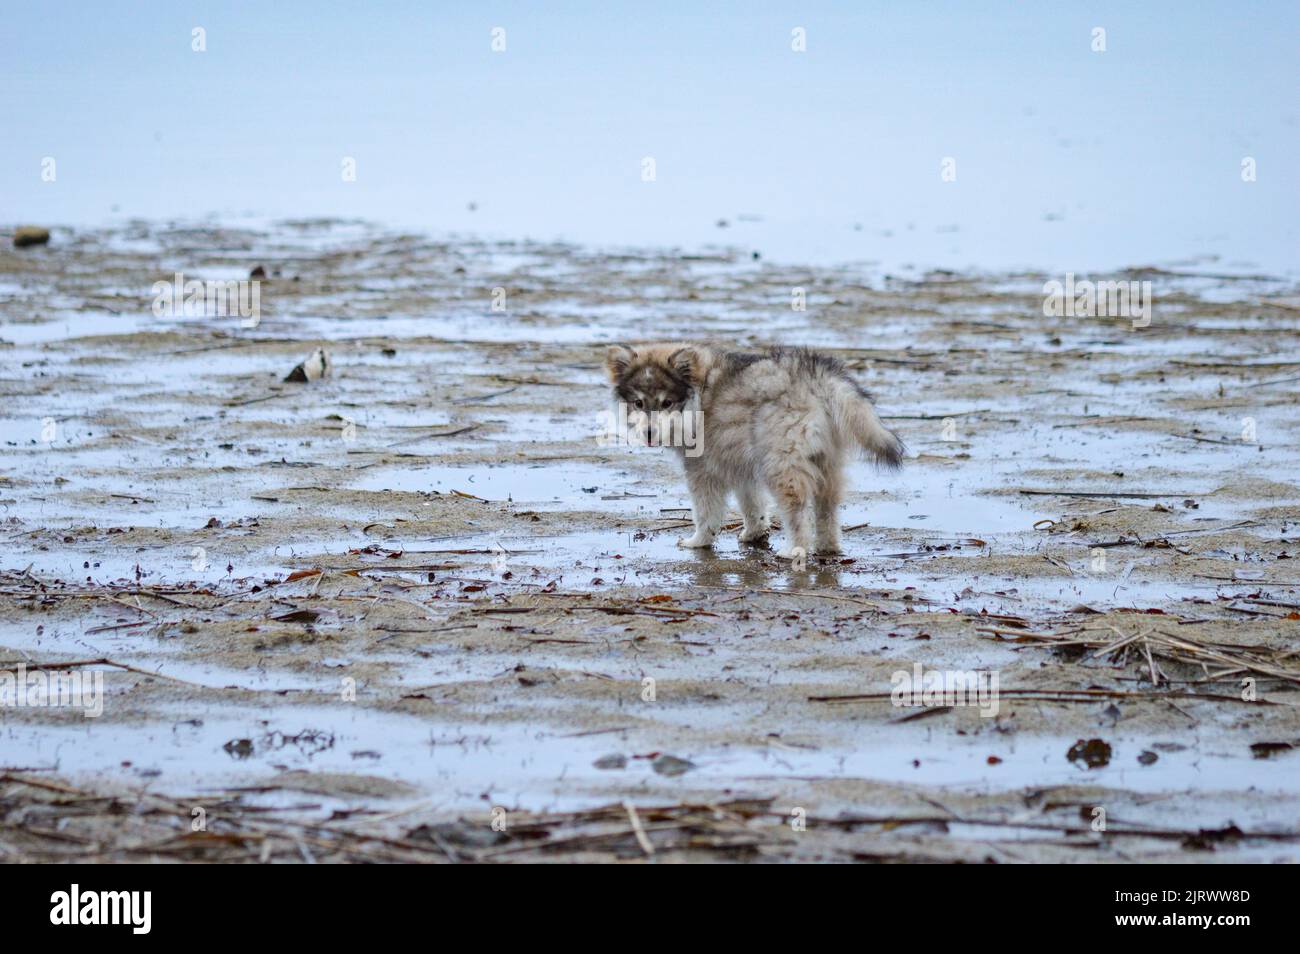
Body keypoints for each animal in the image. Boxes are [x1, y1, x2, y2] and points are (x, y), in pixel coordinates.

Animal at [600, 343, 899, 564]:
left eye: (667, 403)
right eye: (638, 403)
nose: (649, 433)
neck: (698, 397)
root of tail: (814, 377)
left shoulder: (702, 470)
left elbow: (705, 512)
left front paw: (699, 541)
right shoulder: (741, 466)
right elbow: (752, 504)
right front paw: (755, 533)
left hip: (781, 463)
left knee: (797, 509)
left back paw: (795, 549)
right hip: (826, 461)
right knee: (828, 507)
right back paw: (828, 546)